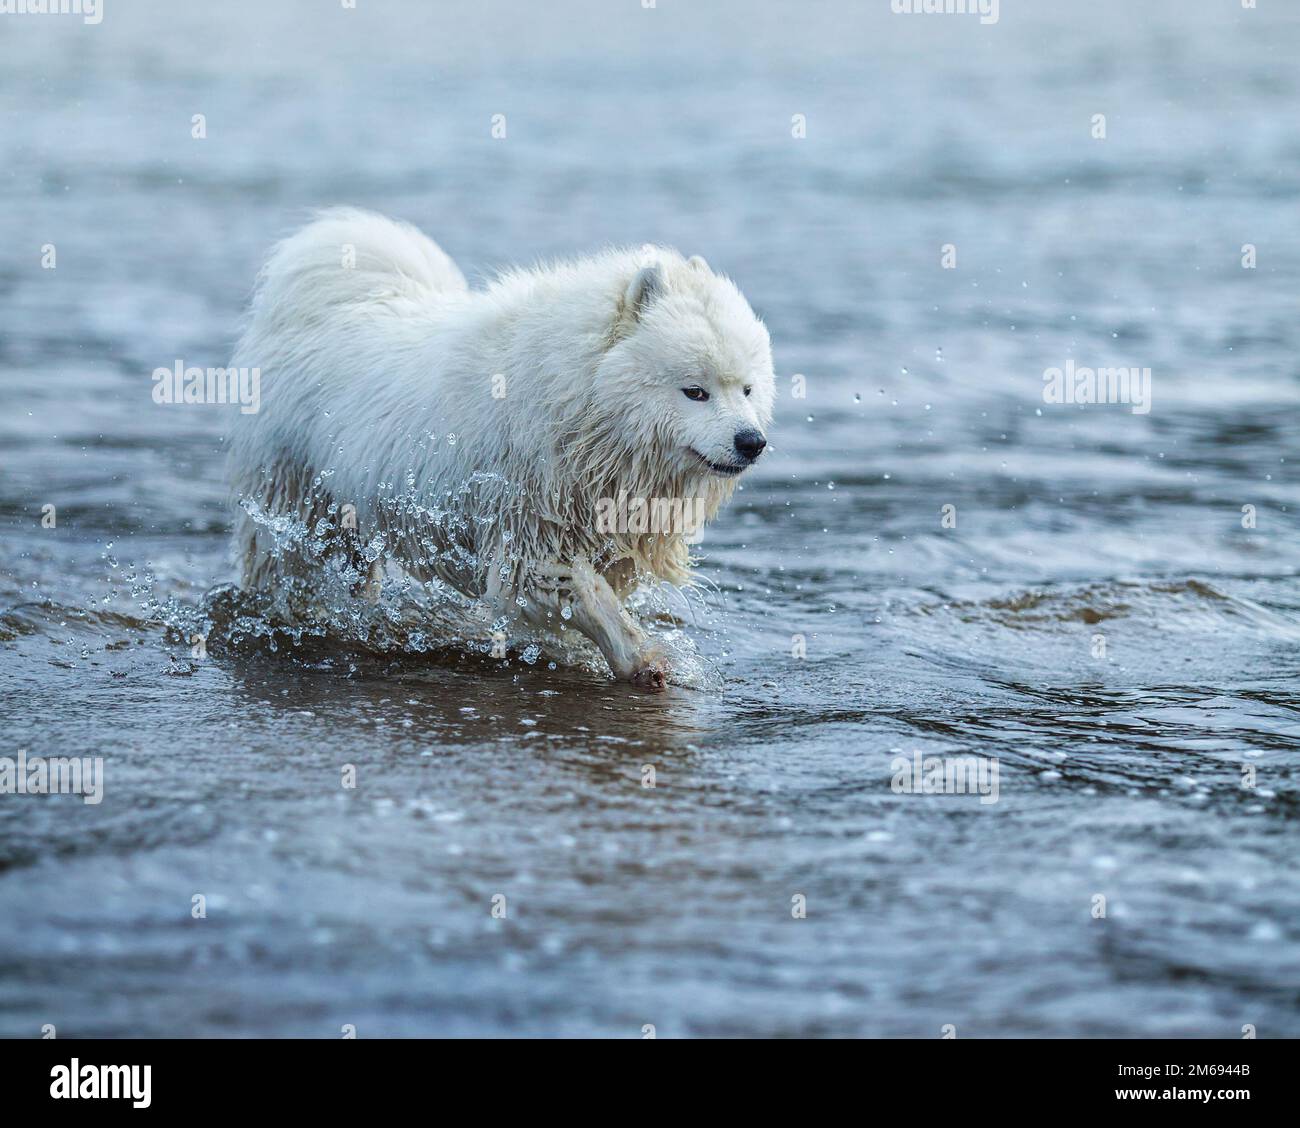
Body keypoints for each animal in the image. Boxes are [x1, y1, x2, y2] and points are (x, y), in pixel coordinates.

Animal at [226, 206, 769, 691]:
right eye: (695, 391)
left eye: (746, 389)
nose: (752, 442)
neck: (577, 401)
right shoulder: (526, 526)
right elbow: (584, 594)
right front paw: (640, 658)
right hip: (300, 505)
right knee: (287, 569)